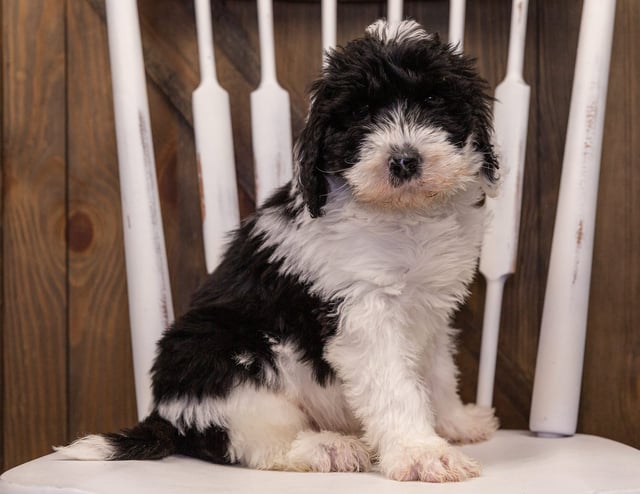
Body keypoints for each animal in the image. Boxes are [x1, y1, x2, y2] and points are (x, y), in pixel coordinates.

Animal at [58, 19, 500, 482]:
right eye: (360, 113)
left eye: (434, 100)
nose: (403, 161)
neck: (403, 215)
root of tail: (164, 415)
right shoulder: (364, 309)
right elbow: (395, 386)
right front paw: (422, 454)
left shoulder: (432, 307)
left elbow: (438, 372)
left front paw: (454, 423)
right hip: (224, 356)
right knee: (258, 442)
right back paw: (327, 447)